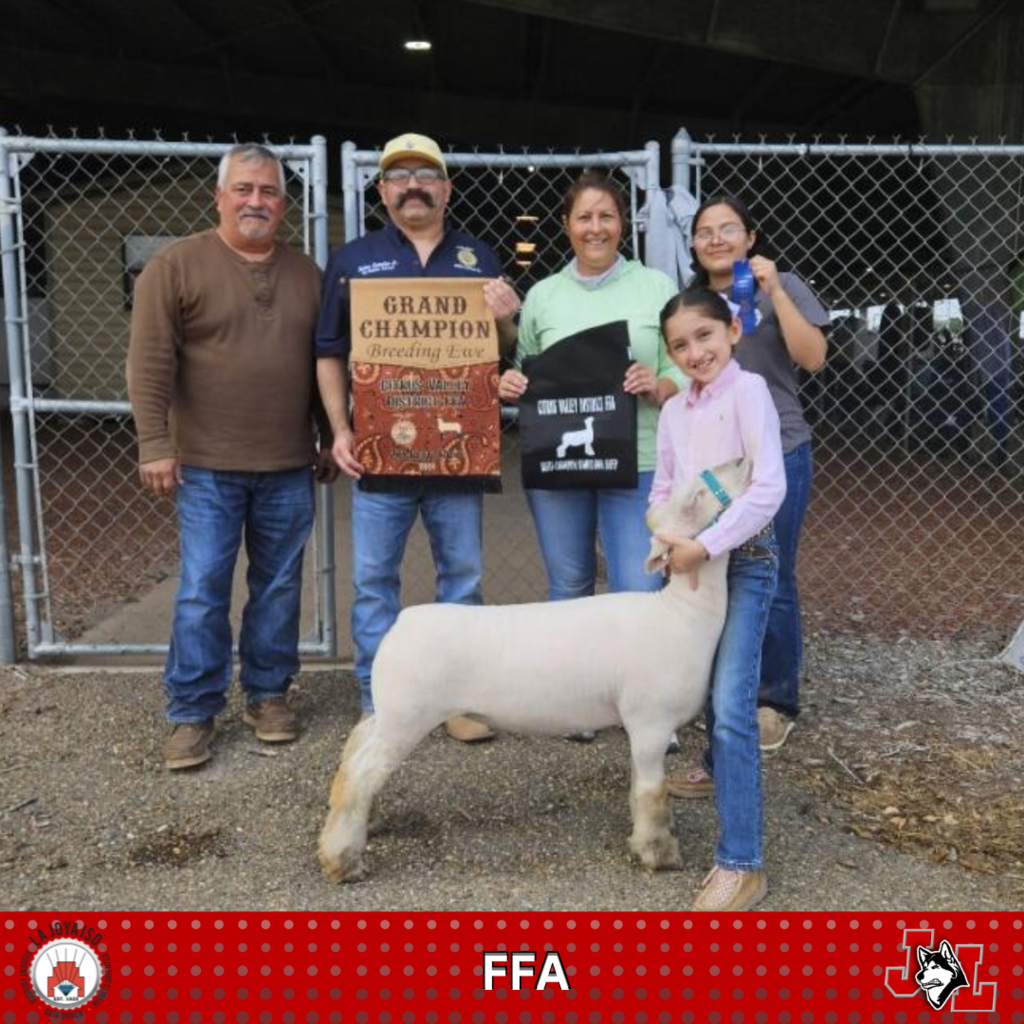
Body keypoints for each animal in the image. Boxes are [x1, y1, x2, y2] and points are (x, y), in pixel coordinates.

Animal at [315, 460, 749, 884]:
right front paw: (659, 854)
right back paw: (343, 861)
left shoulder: (644, 727)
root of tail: (401, 624)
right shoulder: (650, 723)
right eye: (698, 493)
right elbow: (650, 793)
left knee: (354, 754)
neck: (681, 615)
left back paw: (363, 822)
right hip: (408, 715)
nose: (743, 461)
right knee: (362, 772)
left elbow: (639, 789)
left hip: (389, 712)